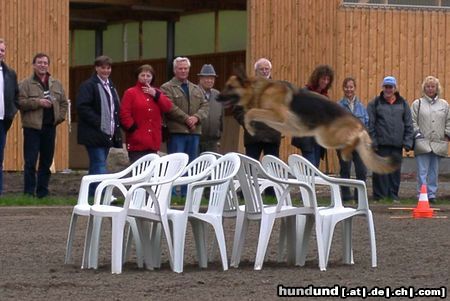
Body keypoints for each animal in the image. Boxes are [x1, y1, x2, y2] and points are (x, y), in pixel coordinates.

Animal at [217, 72, 398, 173]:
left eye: (230, 87)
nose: (217, 97)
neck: (260, 90)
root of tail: (358, 122)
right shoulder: (275, 120)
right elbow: (253, 113)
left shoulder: (278, 115)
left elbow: (251, 112)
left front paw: (250, 127)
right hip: (326, 139)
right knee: (358, 143)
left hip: (328, 138)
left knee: (354, 140)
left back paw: (347, 151)